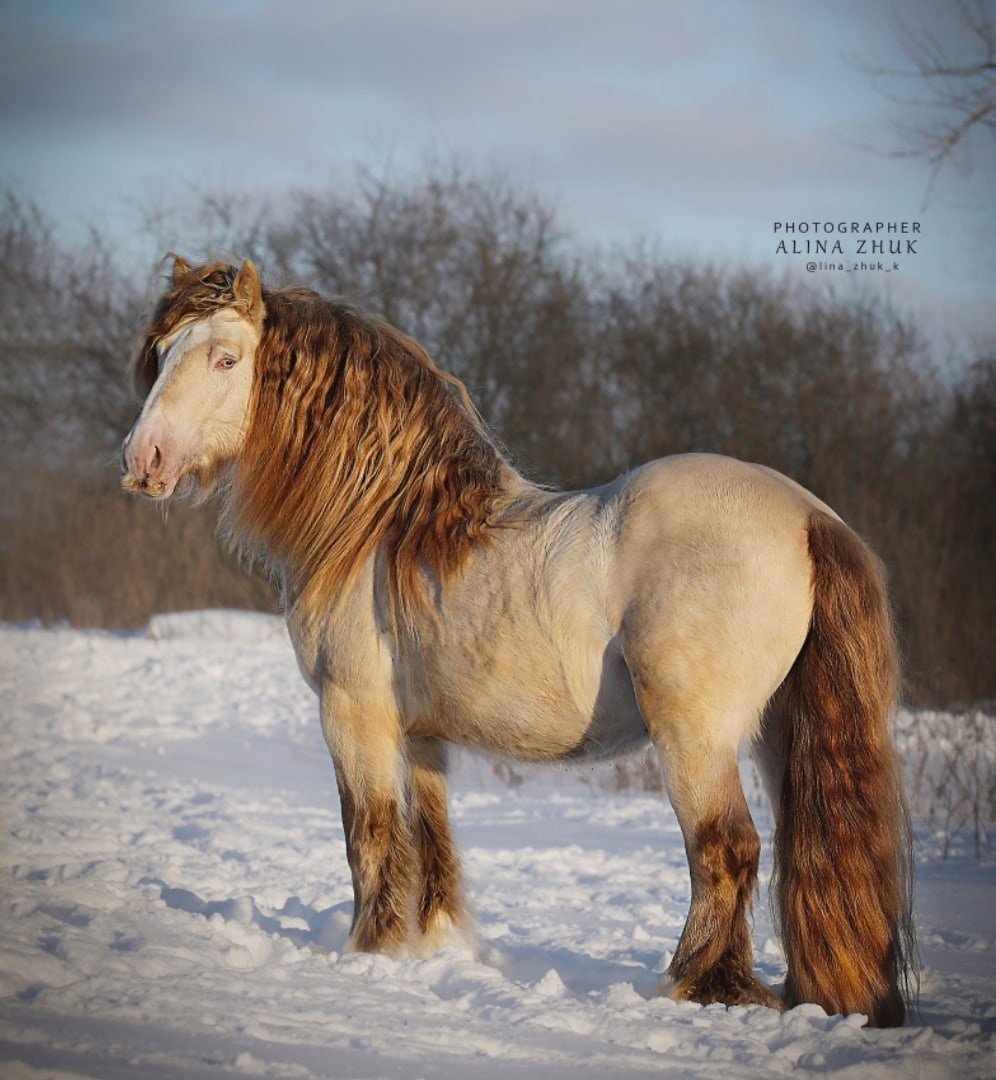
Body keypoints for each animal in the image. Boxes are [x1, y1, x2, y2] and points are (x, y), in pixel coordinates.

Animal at [120, 254, 911, 1028]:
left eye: (225, 358)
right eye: (162, 355)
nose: (143, 458)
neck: (381, 526)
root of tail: (809, 519)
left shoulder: (352, 713)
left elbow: (369, 832)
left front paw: (369, 952)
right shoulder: (420, 734)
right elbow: (431, 836)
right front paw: (437, 948)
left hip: (696, 737)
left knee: (726, 849)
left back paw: (685, 987)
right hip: (779, 732)